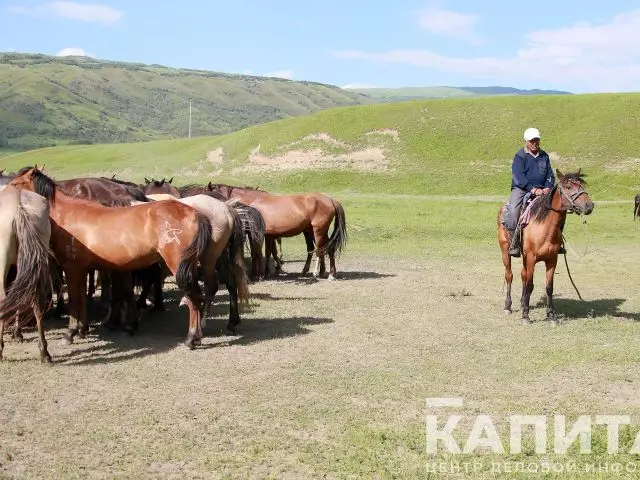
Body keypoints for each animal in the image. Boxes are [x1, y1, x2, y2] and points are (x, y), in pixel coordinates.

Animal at [0, 186, 54, 362]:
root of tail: (20, 208)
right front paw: (17, 332)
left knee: (3, 298)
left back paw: (1, 349)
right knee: (35, 298)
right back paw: (44, 352)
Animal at [10, 167, 228, 346]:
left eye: (15, 184)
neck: (68, 216)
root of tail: (195, 213)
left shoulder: (71, 269)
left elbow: (74, 300)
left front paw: (70, 332)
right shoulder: (81, 269)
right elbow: (80, 298)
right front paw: (80, 329)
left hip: (179, 266)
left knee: (193, 297)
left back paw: (191, 338)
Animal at [209, 184, 350, 282]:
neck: (253, 203)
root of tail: (331, 200)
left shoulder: (260, 235)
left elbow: (260, 253)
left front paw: (261, 275)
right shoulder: (267, 235)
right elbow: (267, 252)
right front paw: (266, 272)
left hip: (318, 231)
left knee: (320, 250)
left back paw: (317, 274)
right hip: (314, 231)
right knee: (326, 249)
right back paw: (328, 273)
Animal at [498, 170, 596, 326]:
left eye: (581, 185)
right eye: (568, 187)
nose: (589, 205)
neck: (544, 226)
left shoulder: (552, 259)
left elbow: (549, 287)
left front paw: (551, 316)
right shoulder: (531, 258)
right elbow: (530, 285)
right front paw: (525, 316)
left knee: (523, 275)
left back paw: (523, 302)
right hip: (505, 252)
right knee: (509, 276)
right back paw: (508, 306)